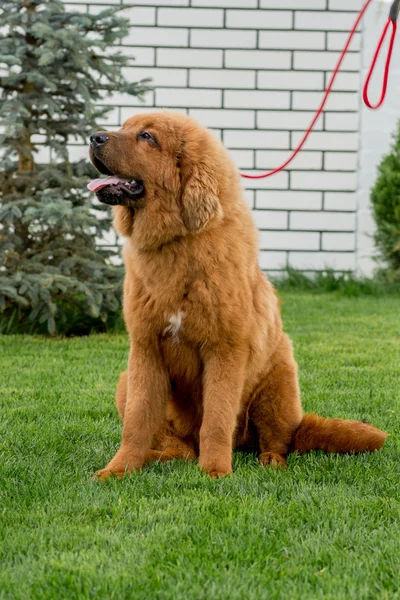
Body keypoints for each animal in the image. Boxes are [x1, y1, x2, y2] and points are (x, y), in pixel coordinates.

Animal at [87, 111, 388, 478]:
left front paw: (215, 472)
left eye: (147, 137)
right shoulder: (146, 350)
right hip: (125, 382)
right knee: (181, 448)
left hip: (277, 388)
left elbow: (217, 419)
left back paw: (269, 461)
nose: (94, 137)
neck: (178, 244)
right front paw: (118, 470)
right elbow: (136, 421)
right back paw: (163, 457)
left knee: (278, 441)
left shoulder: (224, 350)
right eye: (125, 127)